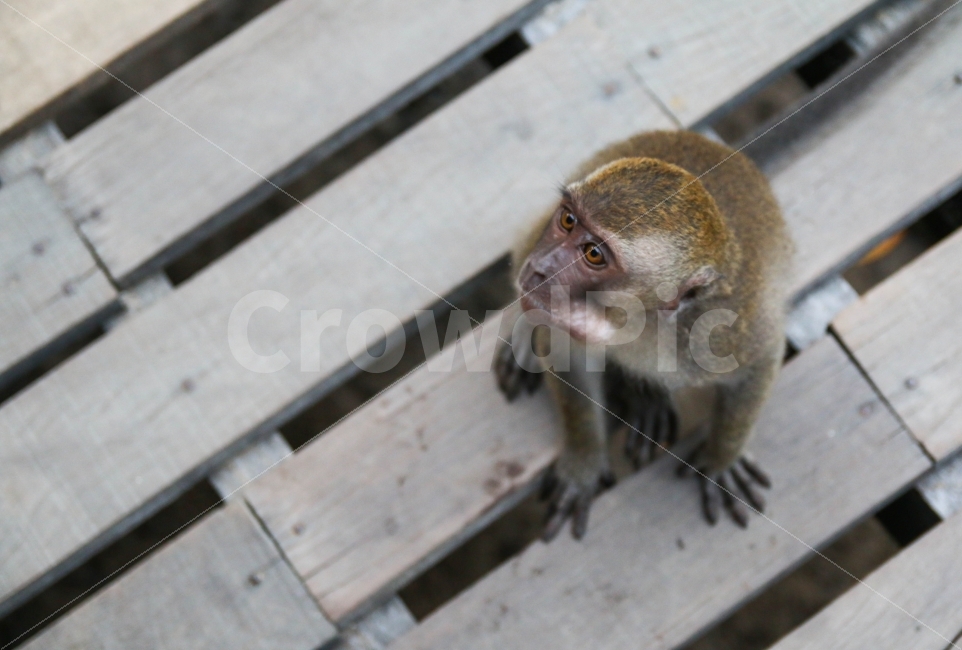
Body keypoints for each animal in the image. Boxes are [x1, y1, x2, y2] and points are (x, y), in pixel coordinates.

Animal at [494, 130, 792, 540]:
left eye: (593, 254)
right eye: (568, 220)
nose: (540, 268)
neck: (641, 320)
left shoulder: (730, 329)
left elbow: (761, 361)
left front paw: (722, 458)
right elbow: (567, 356)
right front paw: (584, 460)